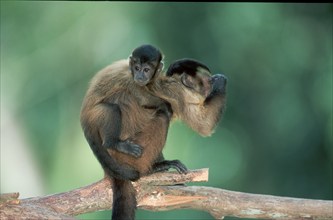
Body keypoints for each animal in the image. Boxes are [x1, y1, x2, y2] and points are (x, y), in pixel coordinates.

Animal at [80, 44, 227, 220]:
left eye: (146, 69)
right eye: (206, 82)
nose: (210, 85)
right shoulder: (176, 92)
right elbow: (204, 125)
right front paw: (220, 82)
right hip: (131, 156)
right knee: (160, 116)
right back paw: (148, 167)